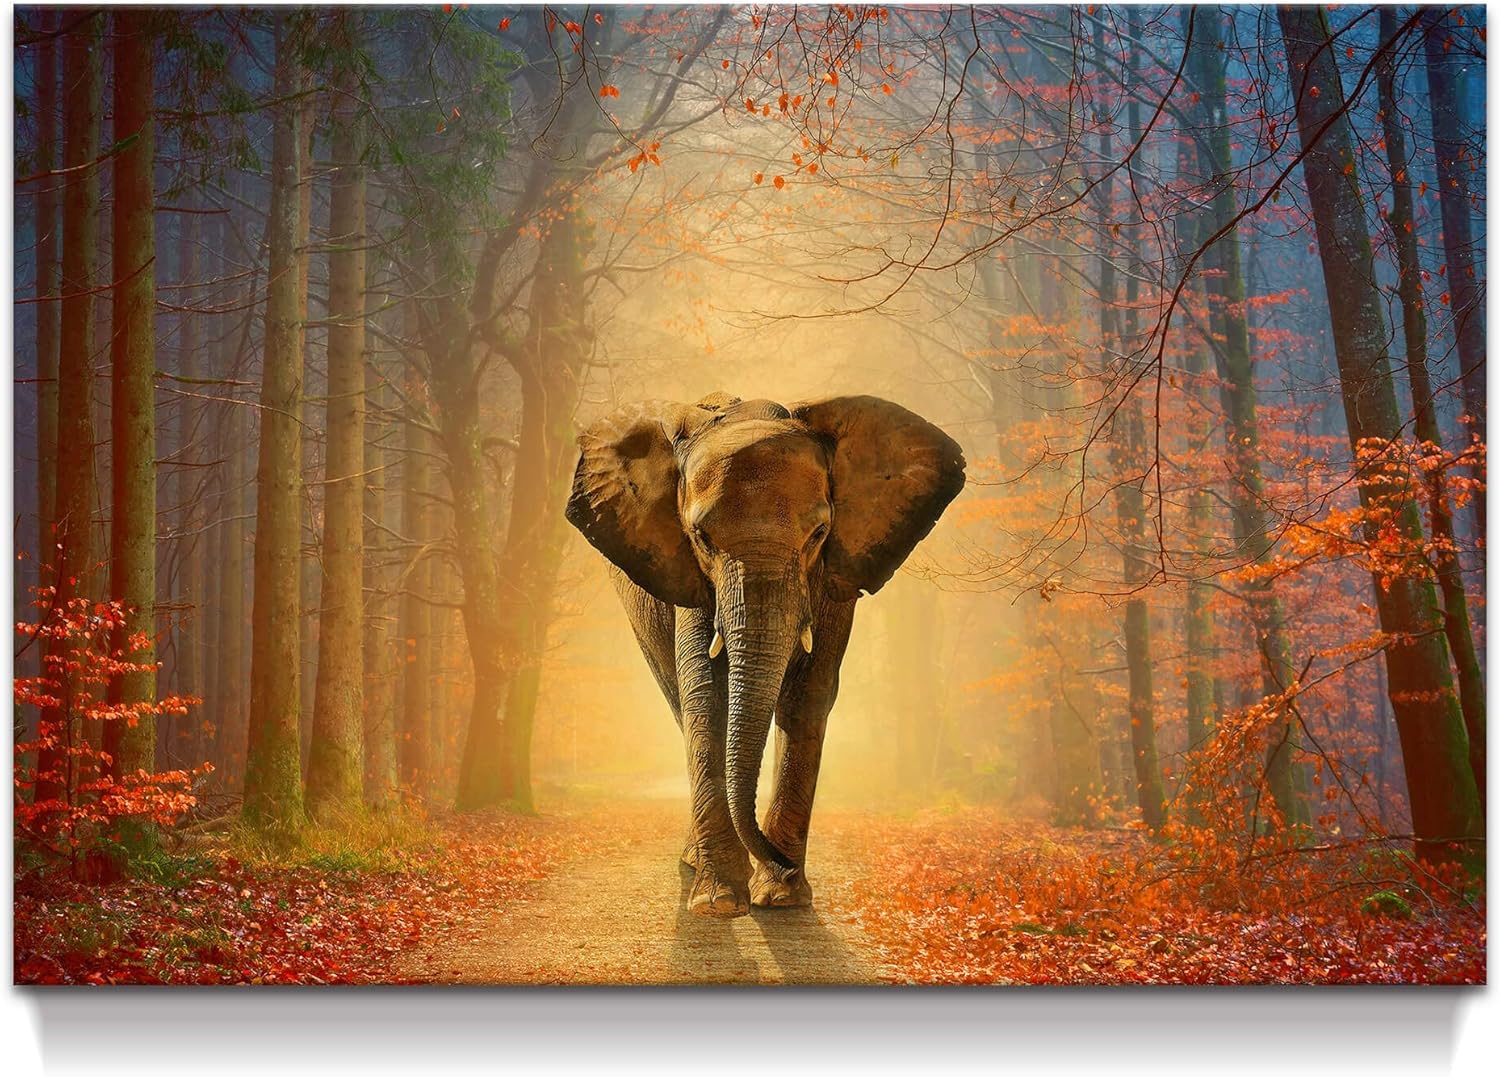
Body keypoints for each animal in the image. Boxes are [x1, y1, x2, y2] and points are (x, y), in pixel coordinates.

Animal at [565, 393, 965, 918]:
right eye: (701, 537)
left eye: (819, 533)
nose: (780, 862)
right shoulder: (691, 578)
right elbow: (705, 695)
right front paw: (718, 903)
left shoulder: (834, 575)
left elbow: (809, 694)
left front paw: (781, 897)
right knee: (678, 702)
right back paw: (696, 863)